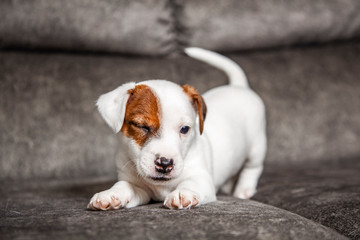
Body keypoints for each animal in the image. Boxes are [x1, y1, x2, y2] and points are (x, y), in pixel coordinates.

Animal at [88, 48, 266, 210]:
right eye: (142, 126)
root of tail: (238, 86)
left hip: (257, 146)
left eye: (185, 129)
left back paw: (244, 190)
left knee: (253, 168)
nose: (165, 163)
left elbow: (192, 183)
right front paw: (110, 195)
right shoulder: (136, 185)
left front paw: (183, 193)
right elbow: (124, 186)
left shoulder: (202, 178)